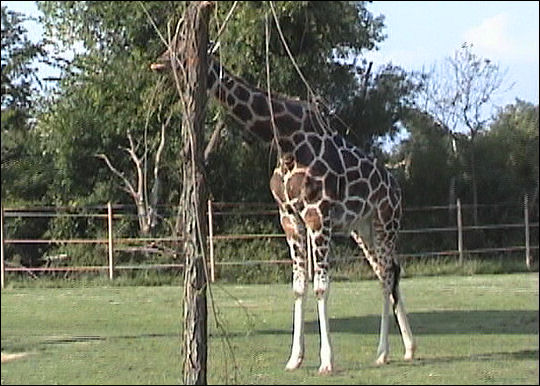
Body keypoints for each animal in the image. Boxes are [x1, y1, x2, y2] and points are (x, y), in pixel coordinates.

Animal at [150, 42, 416, 374]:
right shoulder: (290, 218)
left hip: (386, 221)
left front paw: (326, 361)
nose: (157, 64)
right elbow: (299, 286)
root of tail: (396, 186)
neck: (285, 140)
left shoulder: (318, 215)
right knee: (386, 272)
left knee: (389, 275)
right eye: (173, 47)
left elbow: (321, 286)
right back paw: (405, 349)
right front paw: (295, 358)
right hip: (362, 229)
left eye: (182, 50)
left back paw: (384, 352)